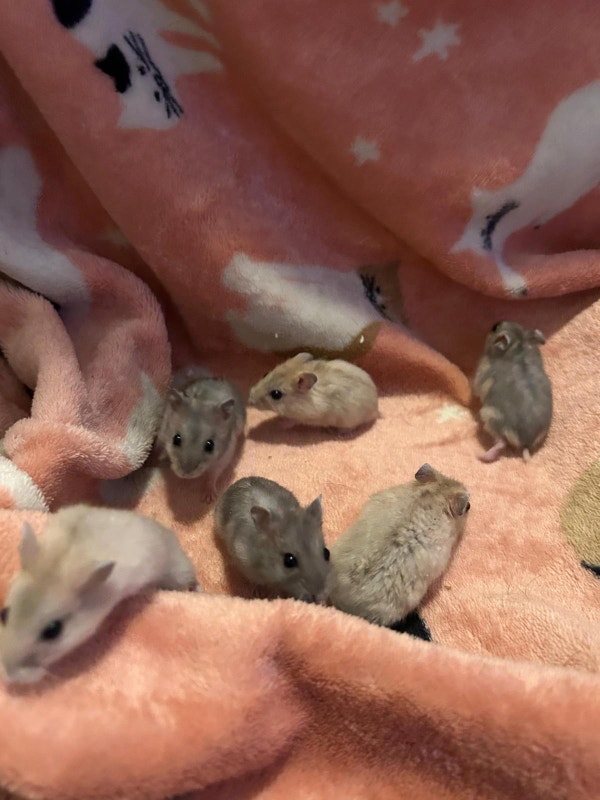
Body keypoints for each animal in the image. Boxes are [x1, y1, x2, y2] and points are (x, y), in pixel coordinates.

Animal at [248, 352, 378, 430]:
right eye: (265, 374)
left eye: (276, 394)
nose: (250, 400)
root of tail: (376, 409)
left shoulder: (309, 416)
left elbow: (293, 420)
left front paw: (280, 424)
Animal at [473, 321, 553, 462]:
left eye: (495, 328)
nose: (496, 322)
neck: (517, 348)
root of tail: (526, 443)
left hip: (489, 415)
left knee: (501, 443)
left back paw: (481, 456)